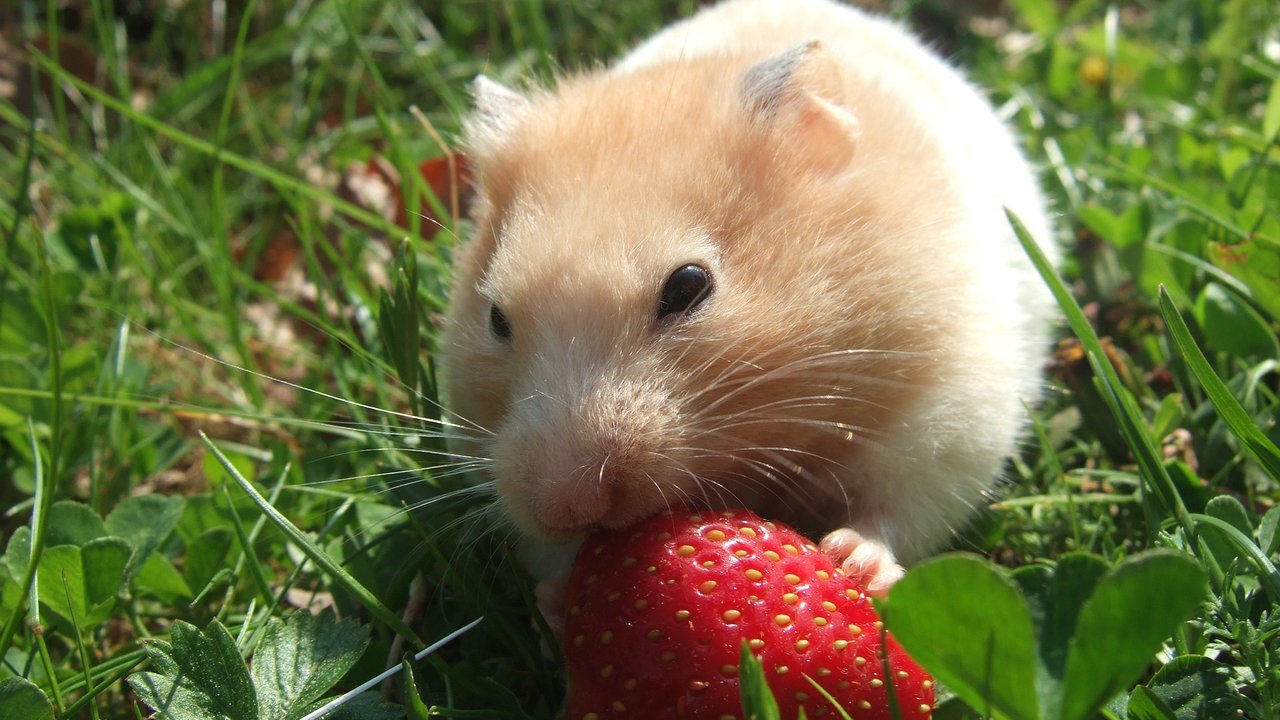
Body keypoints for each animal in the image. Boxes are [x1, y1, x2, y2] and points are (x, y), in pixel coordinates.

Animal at [440, 0, 1059, 594]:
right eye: (496, 318)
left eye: (689, 286)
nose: (567, 506)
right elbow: (550, 558)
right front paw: (557, 597)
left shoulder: (949, 412)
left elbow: (897, 509)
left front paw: (852, 561)